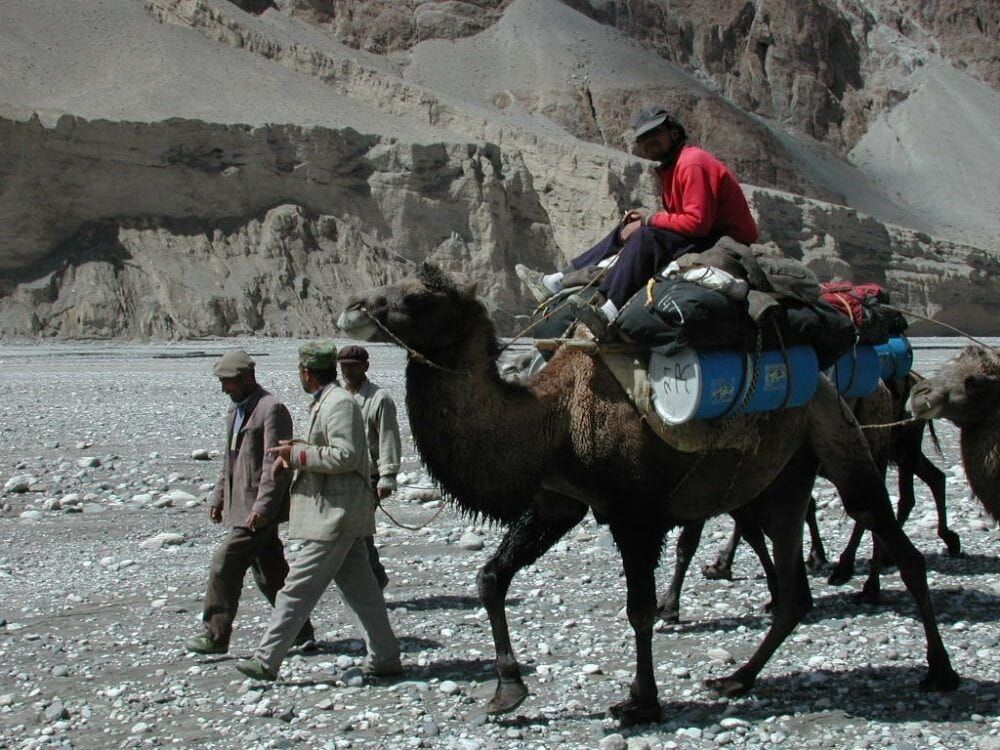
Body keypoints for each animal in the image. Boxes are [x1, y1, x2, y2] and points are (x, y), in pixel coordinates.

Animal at [337, 264, 958, 725]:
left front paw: (641, 702)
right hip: (783, 480)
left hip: (843, 445)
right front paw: (506, 691)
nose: (351, 308)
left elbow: (638, 610)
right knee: (793, 589)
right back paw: (736, 678)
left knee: (892, 539)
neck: (550, 419)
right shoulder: (560, 500)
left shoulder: (635, 514)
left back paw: (939, 670)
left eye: (416, 297)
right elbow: (492, 576)